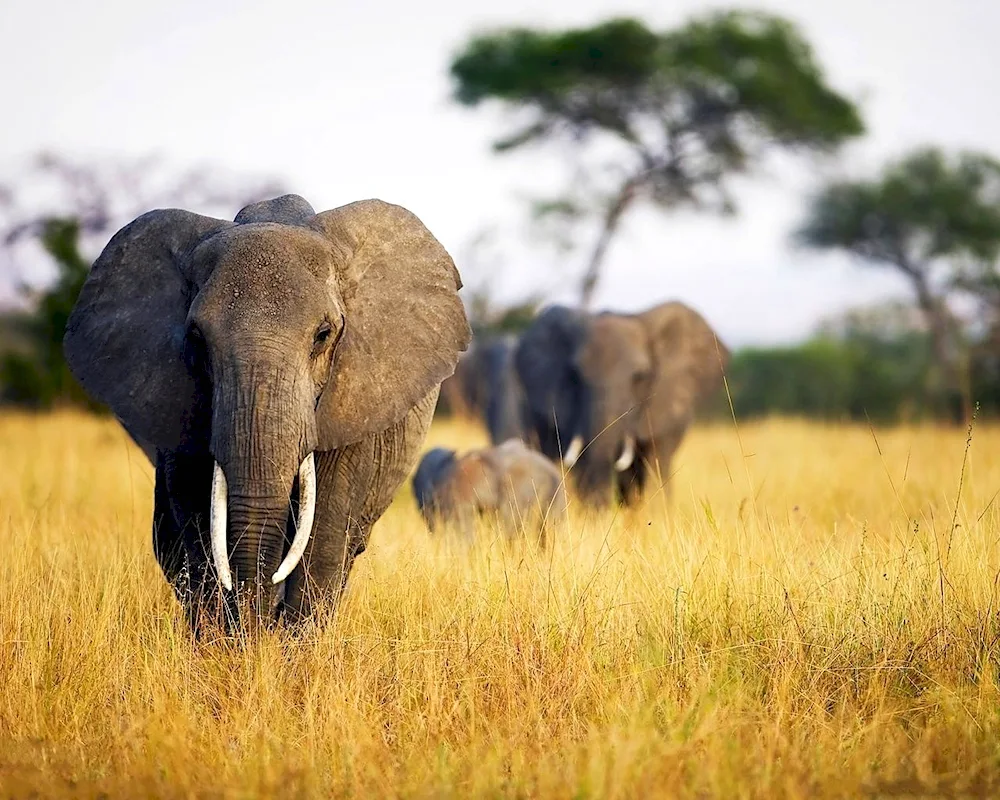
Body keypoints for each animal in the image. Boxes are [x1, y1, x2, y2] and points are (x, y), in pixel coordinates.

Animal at [64, 195, 470, 632]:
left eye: (323, 335)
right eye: (196, 338)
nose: (258, 628)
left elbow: (324, 533)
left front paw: (291, 646)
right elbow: (197, 522)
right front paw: (226, 643)